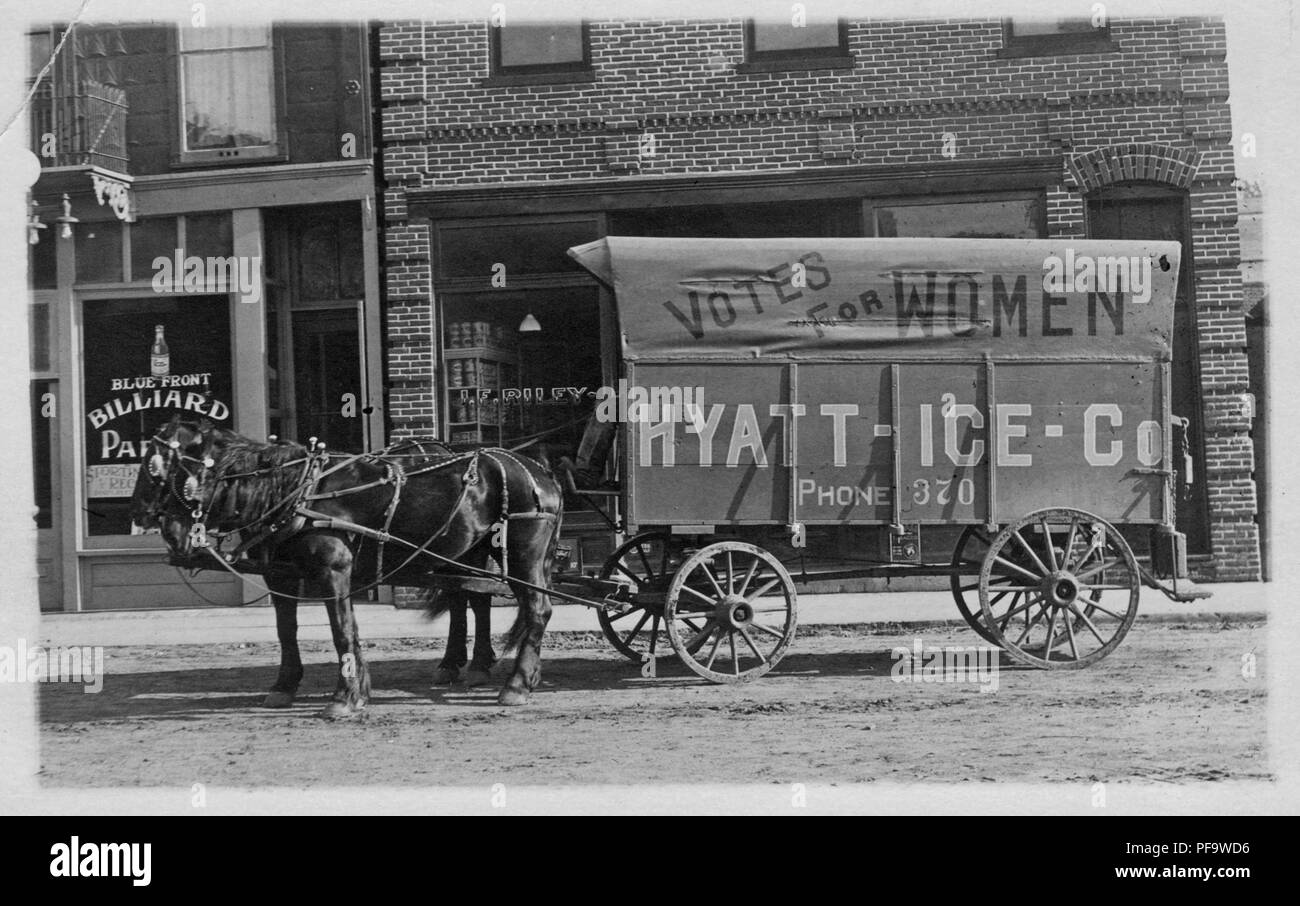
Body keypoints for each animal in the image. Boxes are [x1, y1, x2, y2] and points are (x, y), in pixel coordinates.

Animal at [128, 413, 569, 717]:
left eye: (156, 467)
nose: (147, 518)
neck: (295, 491)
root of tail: (541, 470)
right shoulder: (279, 574)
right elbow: (288, 632)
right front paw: (286, 686)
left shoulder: (333, 570)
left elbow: (342, 630)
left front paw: (346, 697)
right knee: (480, 601)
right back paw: (498, 671)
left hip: (524, 554)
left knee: (536, 609)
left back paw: (516, 685)